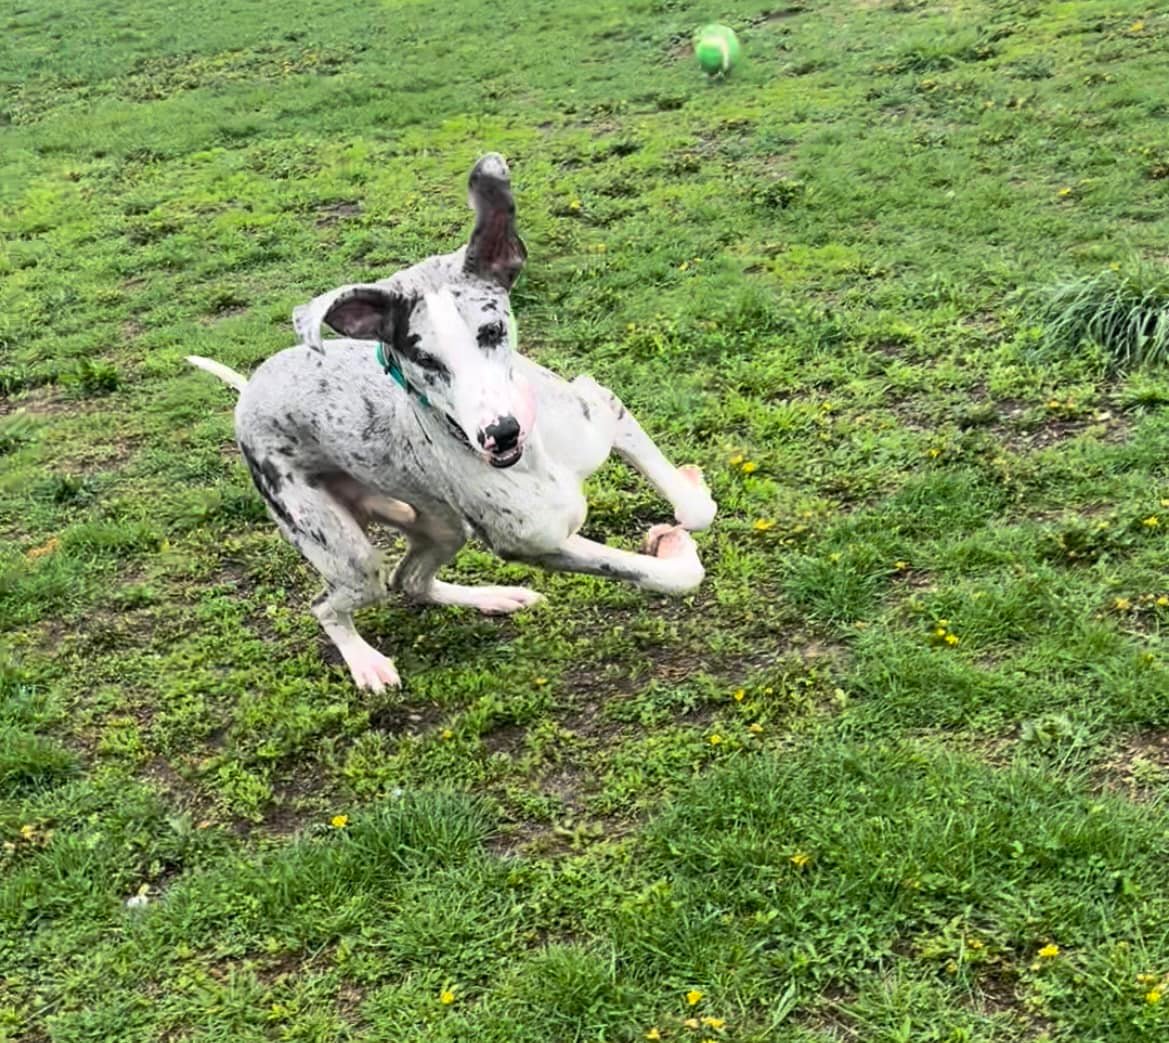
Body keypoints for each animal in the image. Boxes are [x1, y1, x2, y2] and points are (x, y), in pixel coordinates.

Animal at [187, 153, 715, 692]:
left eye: (493, 331)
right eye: (423, 358)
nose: (499, 433)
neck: (536, 460)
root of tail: (250, 387)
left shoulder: (600, 409)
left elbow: (697, 511)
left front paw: (680, 512)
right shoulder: (533, 544)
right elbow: (669, 576)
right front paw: (671, 547)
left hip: (441, 527)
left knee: (410, 581)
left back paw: (495, 597)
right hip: (347, 554)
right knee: (330, 605)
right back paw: (367, 663)